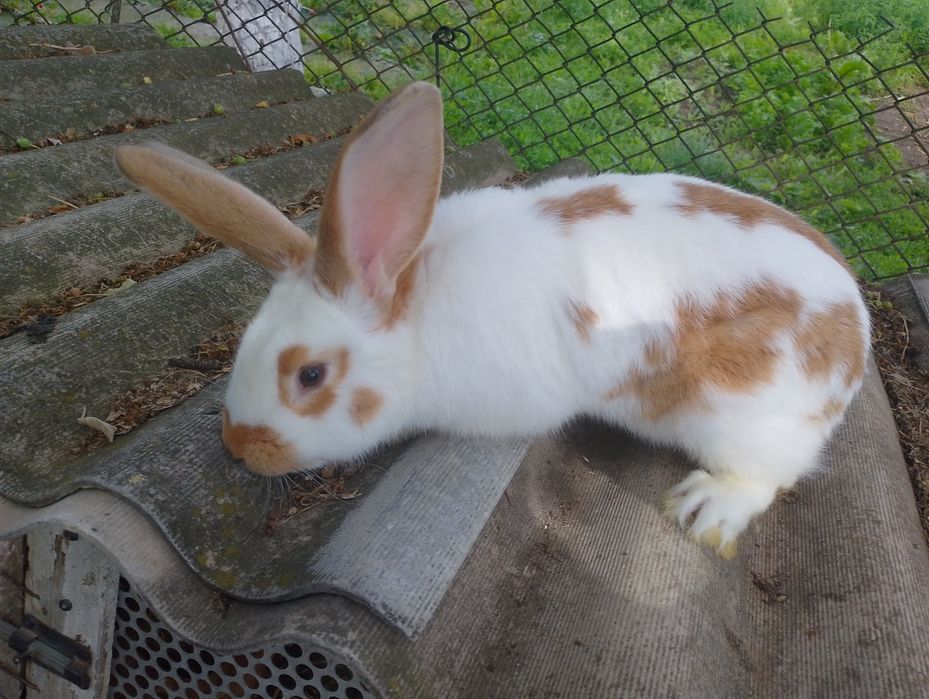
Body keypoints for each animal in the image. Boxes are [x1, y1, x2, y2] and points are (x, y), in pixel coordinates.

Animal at [114, 80, 869, 558]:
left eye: (309, 375)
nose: (239, 447)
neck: (417, 315)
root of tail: (856, 331)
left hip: (748, 418)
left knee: (767, 474)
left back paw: (701, 509)